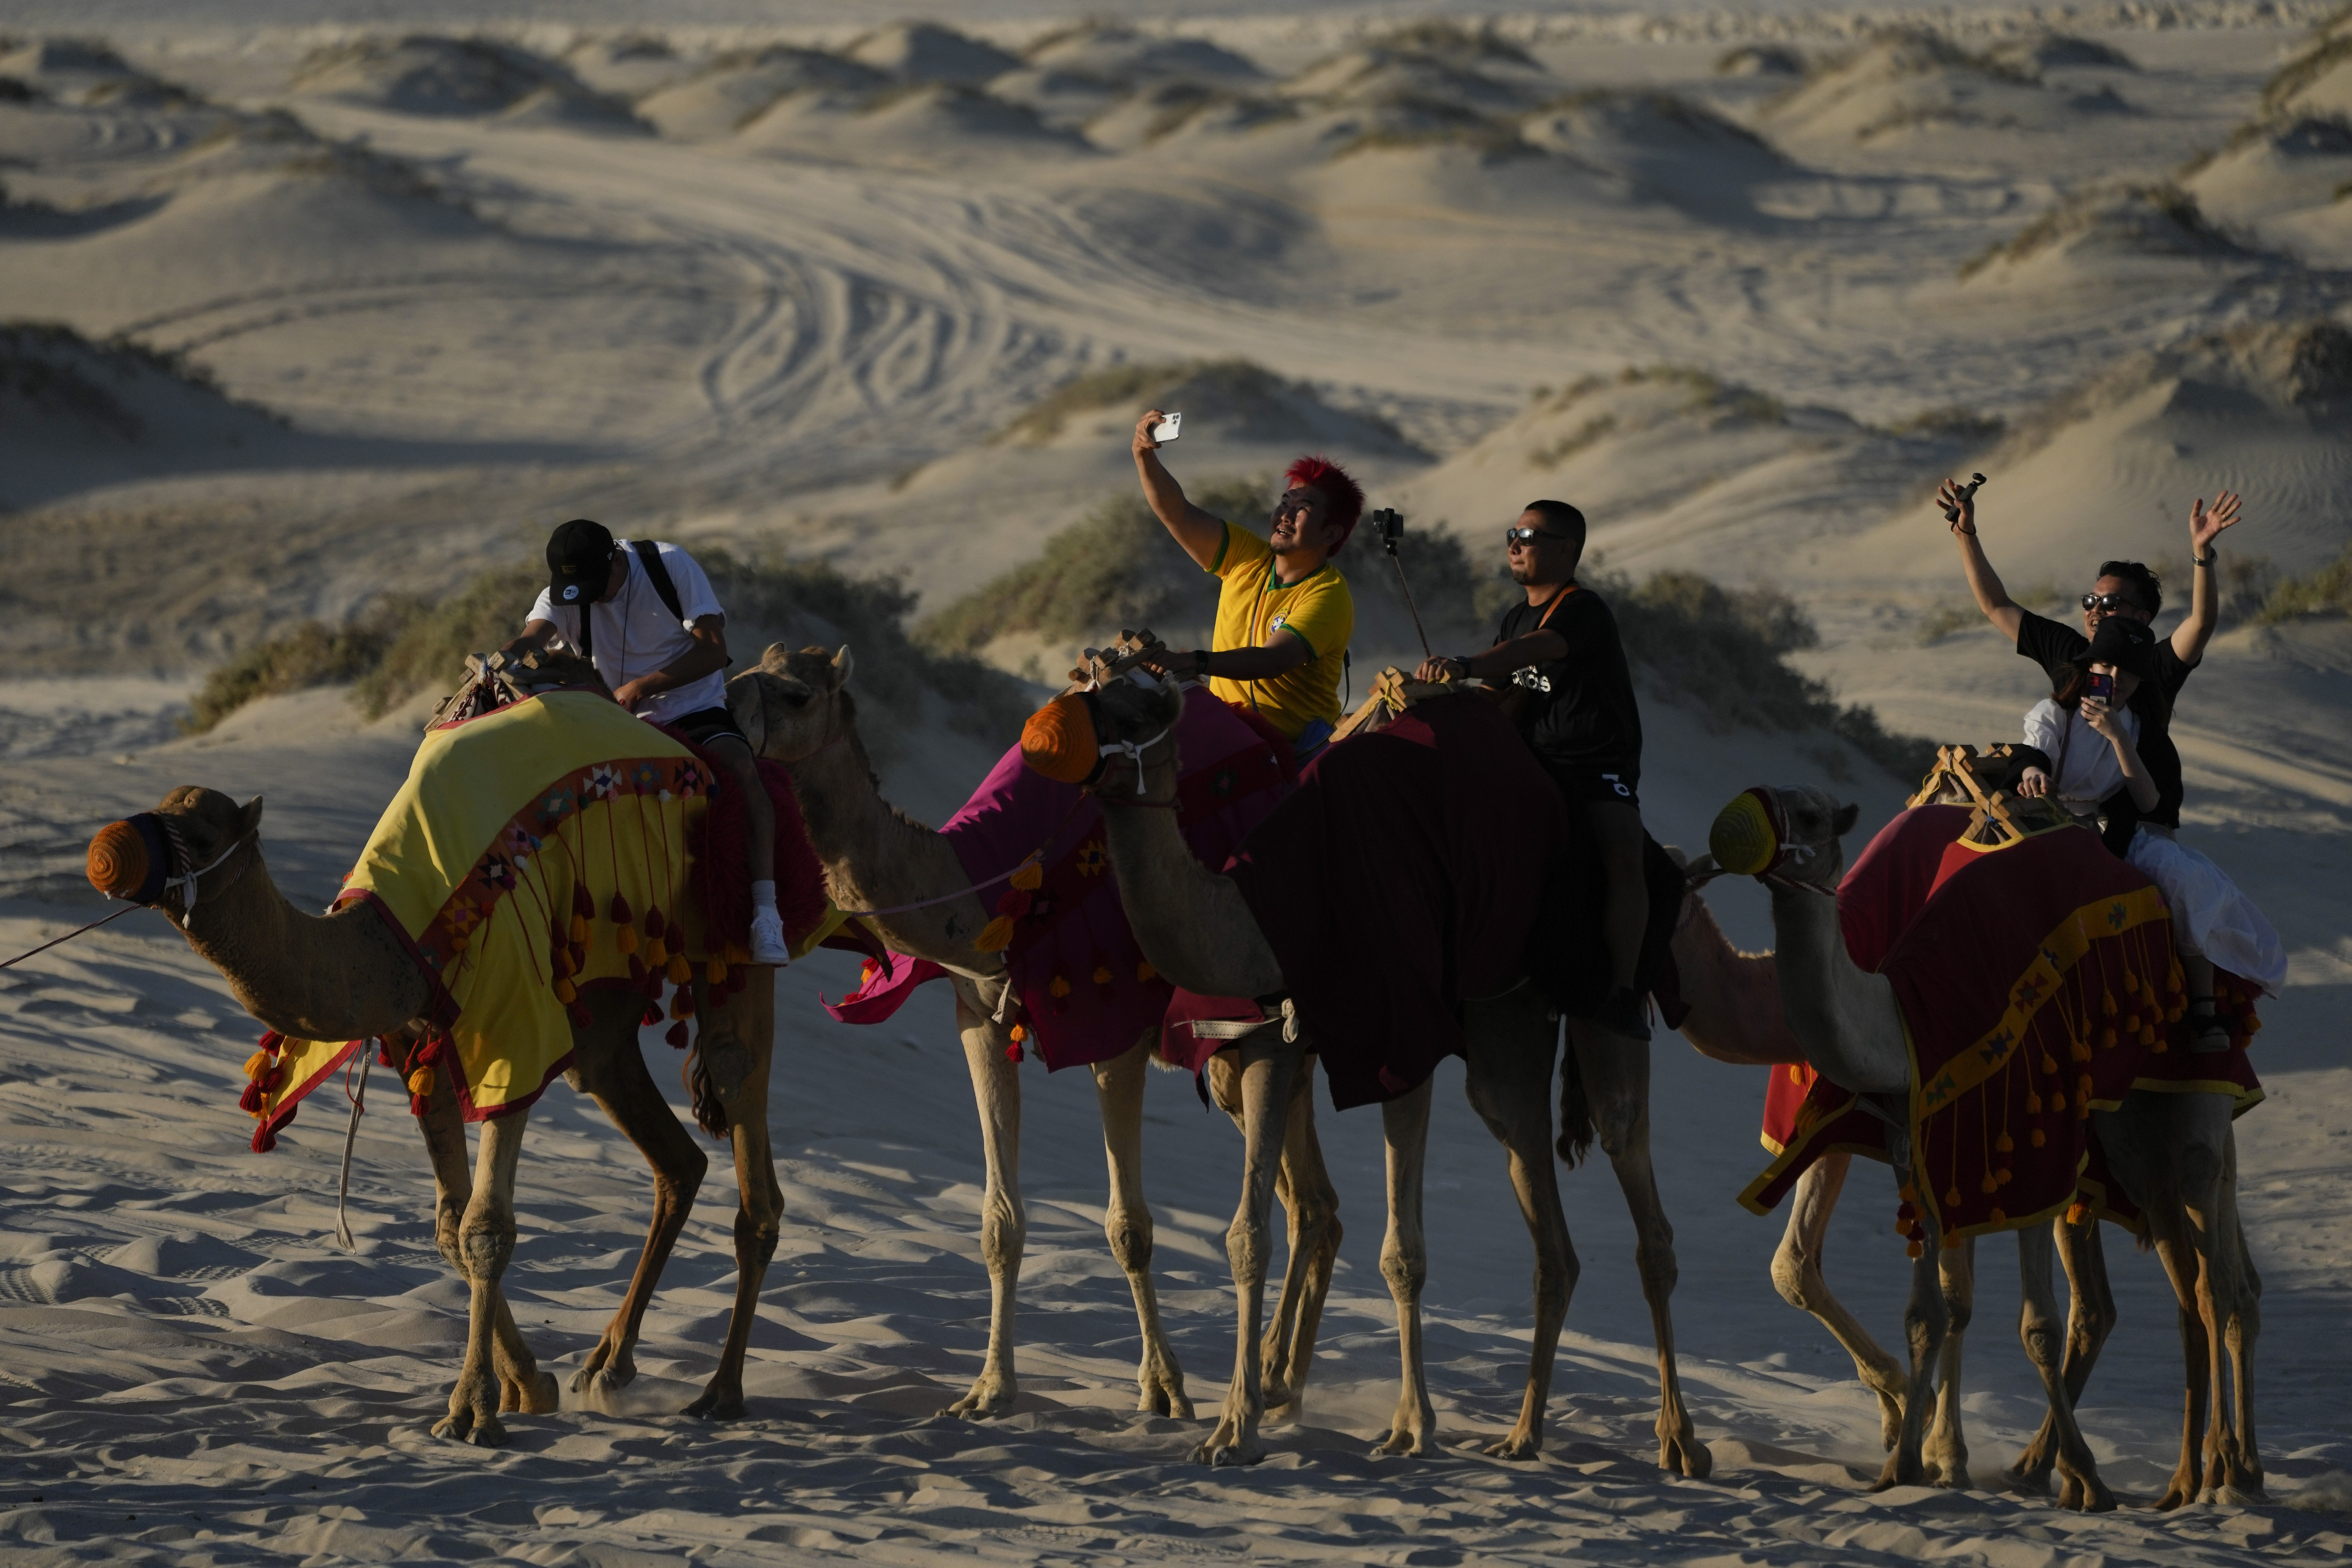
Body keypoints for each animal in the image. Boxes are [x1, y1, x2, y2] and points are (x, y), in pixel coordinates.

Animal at [89, 744, 789, 1445]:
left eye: (204, 833)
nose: (109, 851)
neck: (392, 940)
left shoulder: (518, 1030)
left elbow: (486, 1227)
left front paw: (472, 1410)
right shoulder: (415, 1047)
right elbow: (451, 1225)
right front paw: (529, 1384)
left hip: (724, 931)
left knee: (740, 1092)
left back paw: (721, 1392)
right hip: (605, 1021)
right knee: (677, 1157)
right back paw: (608, 1368)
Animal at [724, 643, 1342, 1422]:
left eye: (796, 694)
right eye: (757, 661)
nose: (723, 697)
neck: (987, 890)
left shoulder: (1116, 1031)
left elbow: (1129, 1227)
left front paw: (1164, 1388)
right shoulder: (979, 1018)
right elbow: (1000, 1222)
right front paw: (989, 1389)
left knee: (1306, 1199)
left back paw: (1277, 1382)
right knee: (1313, 1201)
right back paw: (1280, 1379)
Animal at [1061, 660, 1709, 1474]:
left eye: (1135, 708)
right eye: (1091, 689)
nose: (1054, 737)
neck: (1270, 909)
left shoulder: (1403, 1042)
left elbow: (1401, 1253)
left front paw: (1409, 1427)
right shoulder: (1269, 1040)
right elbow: (1247, 1235)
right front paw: (1232, 1428)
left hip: (1601, 989)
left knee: (1642, 1199)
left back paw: (1679, 1439)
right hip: (1505, 1022)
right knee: (1547, 1225)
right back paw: (1522, 1434)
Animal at [1717, 784, 2262, 1509]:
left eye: (1807, 813)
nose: (1734, 829)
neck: (1907, 1012)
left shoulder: (2034, 1142)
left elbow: (2034, 1325)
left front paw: (2071, 1473)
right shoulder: (1923, 1146)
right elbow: (1931, 1309)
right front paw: (1910, 1463)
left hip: (2193, 1121)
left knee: (2215, 1287)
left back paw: (2221, 1470)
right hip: (2131, 1154)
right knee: (2158, 1295)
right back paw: (2142, 1474)